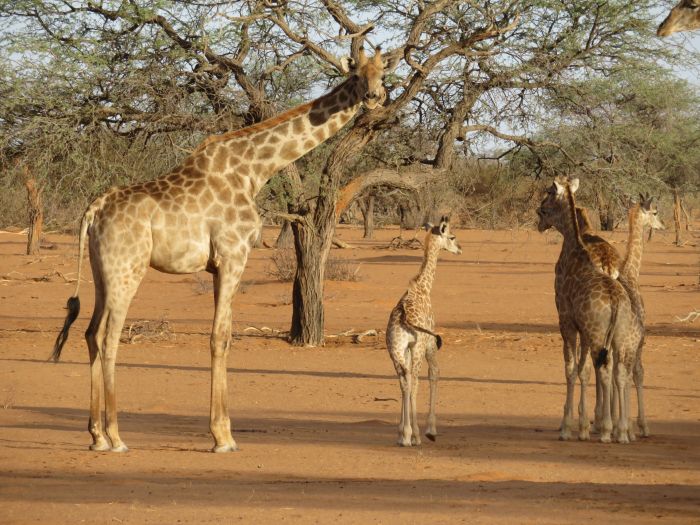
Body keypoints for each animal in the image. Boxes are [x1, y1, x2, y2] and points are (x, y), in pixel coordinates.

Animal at [53, 47, 400, 452]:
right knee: (108, 337)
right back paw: (116, 436)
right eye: (358, 74)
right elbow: (220, 338)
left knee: (90, 333)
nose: (375, 97)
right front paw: (223, 436)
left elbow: (225, 335)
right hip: (127, 270)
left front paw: (222, 432)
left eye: (383, 74)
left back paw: (96, 435)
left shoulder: (220, 264)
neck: (254, 169)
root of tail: (93, 210)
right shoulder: (234, 256)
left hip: (101, 271)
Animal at [386, 217, 462, 446]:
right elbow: (434, 373)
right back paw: (416, 435)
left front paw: (402, 431)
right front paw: (431, 430)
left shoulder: (407, 349)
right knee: (415, 381)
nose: (460, 248)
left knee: (404, 380)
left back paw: (404, 435)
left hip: (395, 350)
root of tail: (403, 318)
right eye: (452, 236)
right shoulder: (429, 344)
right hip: (419, 347)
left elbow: (406, 382)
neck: (423, 287)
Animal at [540, 177, 644, 442]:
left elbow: (571, 369)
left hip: (598, 333)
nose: (539, 212)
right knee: (620, 369)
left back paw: (608, 429)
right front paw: (584, 424)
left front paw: (569, 426)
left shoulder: (566, 321)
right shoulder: (584, 328)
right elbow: (583, 369)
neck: (574, 246)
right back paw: (622, 430)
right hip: (618, 334)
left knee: (605, 369)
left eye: (549, 192)